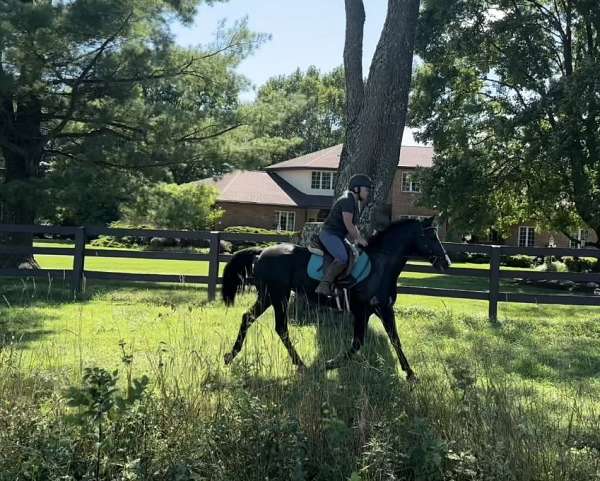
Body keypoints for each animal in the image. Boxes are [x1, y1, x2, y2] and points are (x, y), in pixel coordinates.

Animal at [220, 217, 450, 378]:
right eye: (431, 237)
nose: (446, 263)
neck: (380, 267)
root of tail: (261, 253)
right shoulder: (362, 312)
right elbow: (357, 343)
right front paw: (329, 364)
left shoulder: (384, 310)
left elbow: (395, 339)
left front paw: (410, 373)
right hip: (278, 296)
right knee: (281, 328)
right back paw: (300, 363)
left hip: (268, 297)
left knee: (248, 318)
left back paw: (230, 356)